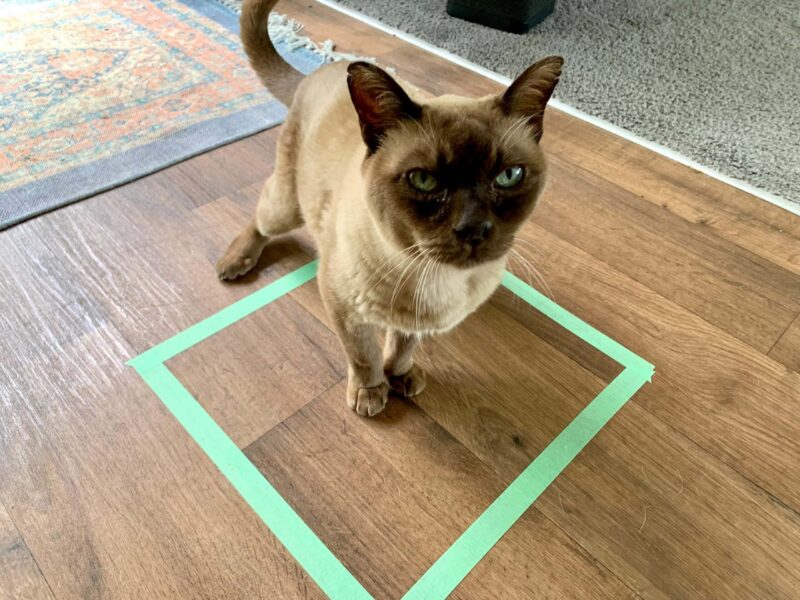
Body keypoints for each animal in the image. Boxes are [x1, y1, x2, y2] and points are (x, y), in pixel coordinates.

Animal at [219, 0, 564, 418]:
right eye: (424, 181)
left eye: (509, 176)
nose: (474, 229)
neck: (433, 276)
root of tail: (320, 71)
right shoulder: (344, 308)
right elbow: (363, 355)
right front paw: (371, 394)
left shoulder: (415, 321)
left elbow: (402, 347)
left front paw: (400, 377)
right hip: (287, 206)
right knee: (260, 216)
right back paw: (234, 262)